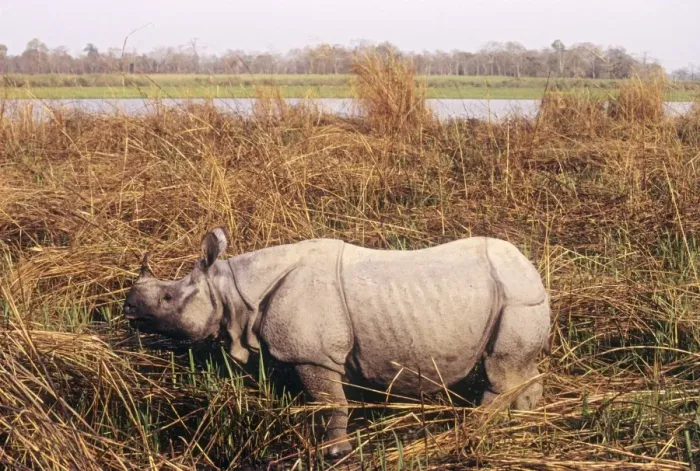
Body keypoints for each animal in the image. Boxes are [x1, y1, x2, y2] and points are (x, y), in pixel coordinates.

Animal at [123, 227, 550, 459]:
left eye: (168, 299)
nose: (127, 307)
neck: (234, 289)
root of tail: (532, 271)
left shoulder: (315, 357)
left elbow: (332, 404)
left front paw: (334, 453)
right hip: (518, 296)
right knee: (521, 370)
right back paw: (524, 423)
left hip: (516, 297)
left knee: (500, 371)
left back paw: (470, 433)